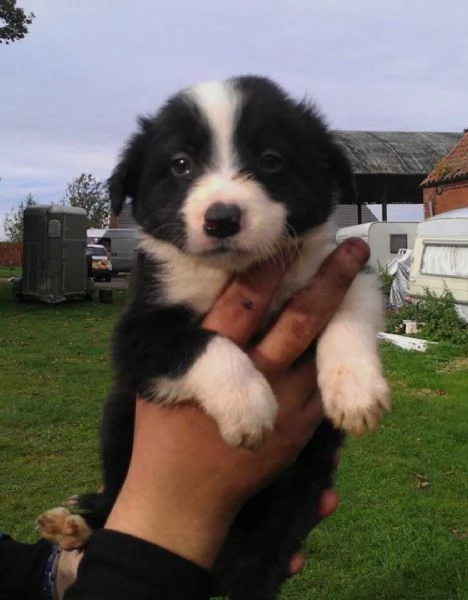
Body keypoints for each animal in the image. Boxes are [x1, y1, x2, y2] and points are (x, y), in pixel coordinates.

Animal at [36, 75, 390, 600]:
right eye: (181, 164)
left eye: (271, 159)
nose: (221, 219)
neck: (232, 273)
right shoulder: (137, 331)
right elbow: (203, 342)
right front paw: (250, 405)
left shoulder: (341, 271)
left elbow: (349, 313)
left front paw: (355, 391)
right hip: (119, 421)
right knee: (112, 498)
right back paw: (74, 527)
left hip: (294, 493)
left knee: (261, 563)